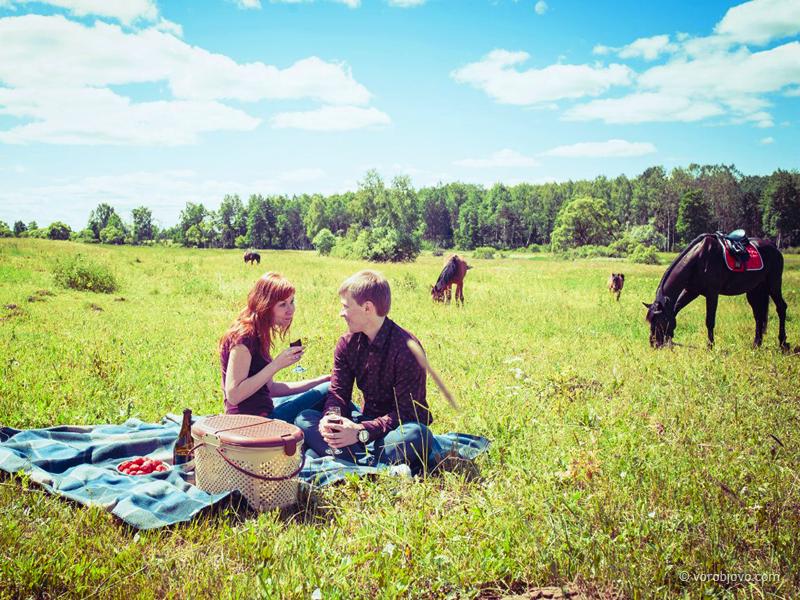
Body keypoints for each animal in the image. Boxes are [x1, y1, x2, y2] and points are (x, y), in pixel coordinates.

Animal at [644, 232, 788, 350]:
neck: (698, 259)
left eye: (658, 321)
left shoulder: (712, 294)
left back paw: (782, 343)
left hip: (773, 285)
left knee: (781, 307)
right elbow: (676, 308)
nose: (654, 344)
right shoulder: (691, 291)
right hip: (755, 290)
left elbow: (710, 321)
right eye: (650, 321)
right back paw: (756, 344)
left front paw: (710, 346)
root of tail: (775, 248)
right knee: (759, 315)